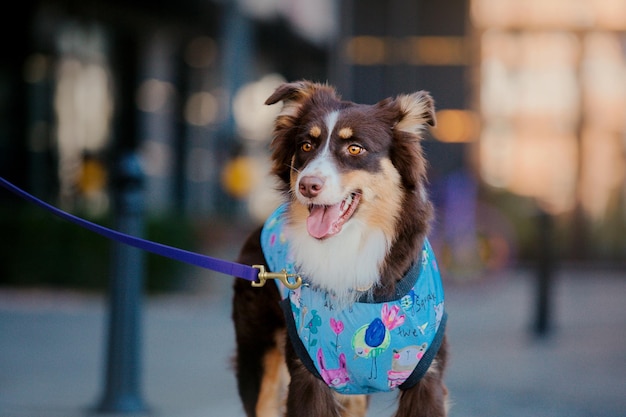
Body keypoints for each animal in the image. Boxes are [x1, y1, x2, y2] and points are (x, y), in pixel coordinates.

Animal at [232, 81, 446, 416]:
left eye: (355, 148)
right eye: (306, 146)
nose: (307, 186)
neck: (350, 245)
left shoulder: (428, 377)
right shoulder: (308, 374)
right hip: (258, 357)